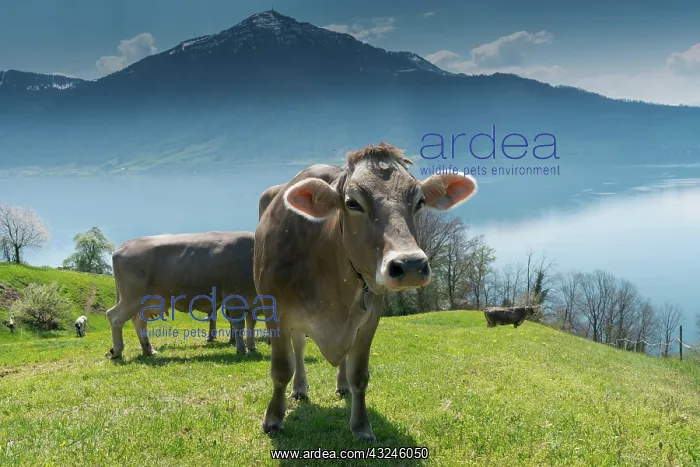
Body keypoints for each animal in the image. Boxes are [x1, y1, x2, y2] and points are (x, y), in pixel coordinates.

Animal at [105, 231, 259, 359]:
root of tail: (127, 244)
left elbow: (250, 324)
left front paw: (252, 347)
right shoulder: (235, 296)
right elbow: (239, 325)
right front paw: (243, 350)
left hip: (145, 301)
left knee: (139, 322)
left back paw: (149, 350)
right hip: (132, 297)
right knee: (114, 317)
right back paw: (117, 351)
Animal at [254, 142, 478, 440]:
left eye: (419, 202)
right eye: (352, 203)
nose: (410, 265)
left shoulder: (370, 317)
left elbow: (359, 374)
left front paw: (361, 426)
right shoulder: (275, 311)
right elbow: (281, 369)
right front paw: (273, 419)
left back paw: (341, 386)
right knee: (299, 347)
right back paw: (300, 389)